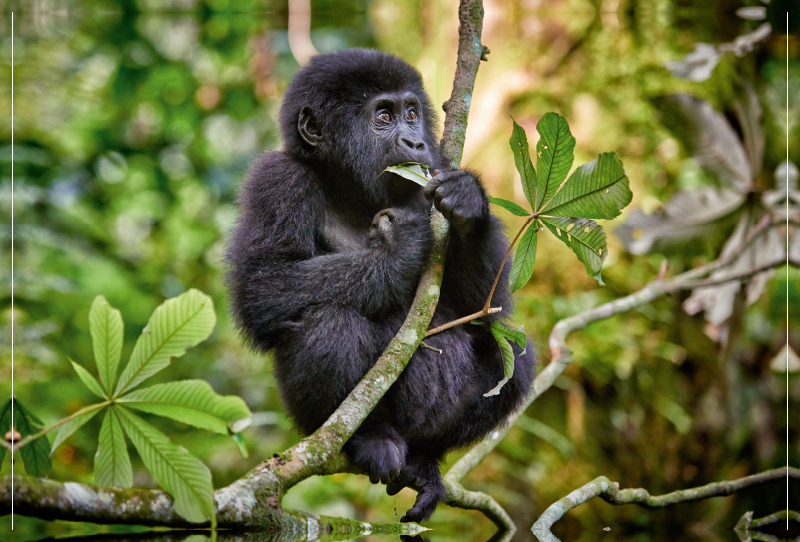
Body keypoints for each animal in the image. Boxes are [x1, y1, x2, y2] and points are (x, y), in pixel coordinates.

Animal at [225, 49, 536, 524]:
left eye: (411, 113)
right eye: (384, 116)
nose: (415, 142)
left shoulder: (434, 170)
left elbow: (488, 308)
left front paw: (470, 202)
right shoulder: (277, 180)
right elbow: (263, 286)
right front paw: (398, 250)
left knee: (513, 352)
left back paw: (425, 460)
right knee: (329, 322)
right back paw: (369, 438)